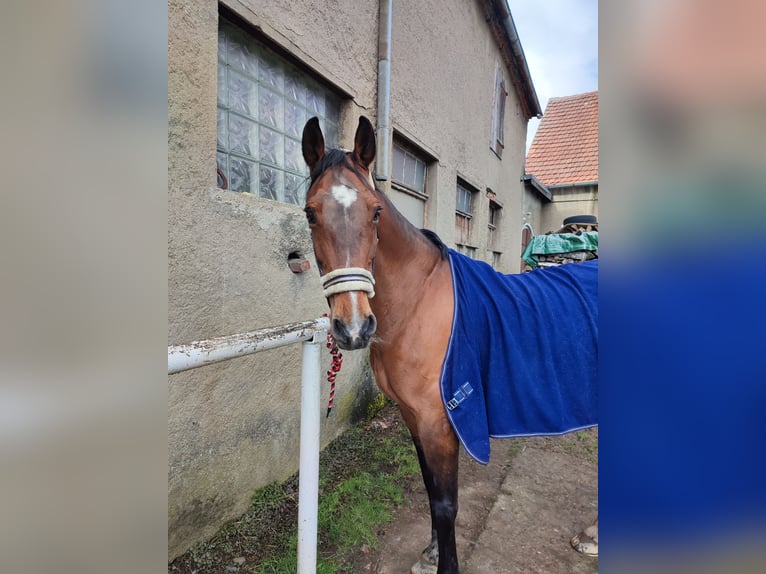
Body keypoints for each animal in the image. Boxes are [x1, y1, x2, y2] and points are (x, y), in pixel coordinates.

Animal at [301, 115, 598, 573]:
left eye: (376, 212)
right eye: (311, 213)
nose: (354, 328)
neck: (418, 303)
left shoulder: (441, 421)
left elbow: (445, 503)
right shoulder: (413, 417)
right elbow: (429, 487)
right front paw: (431, 552)